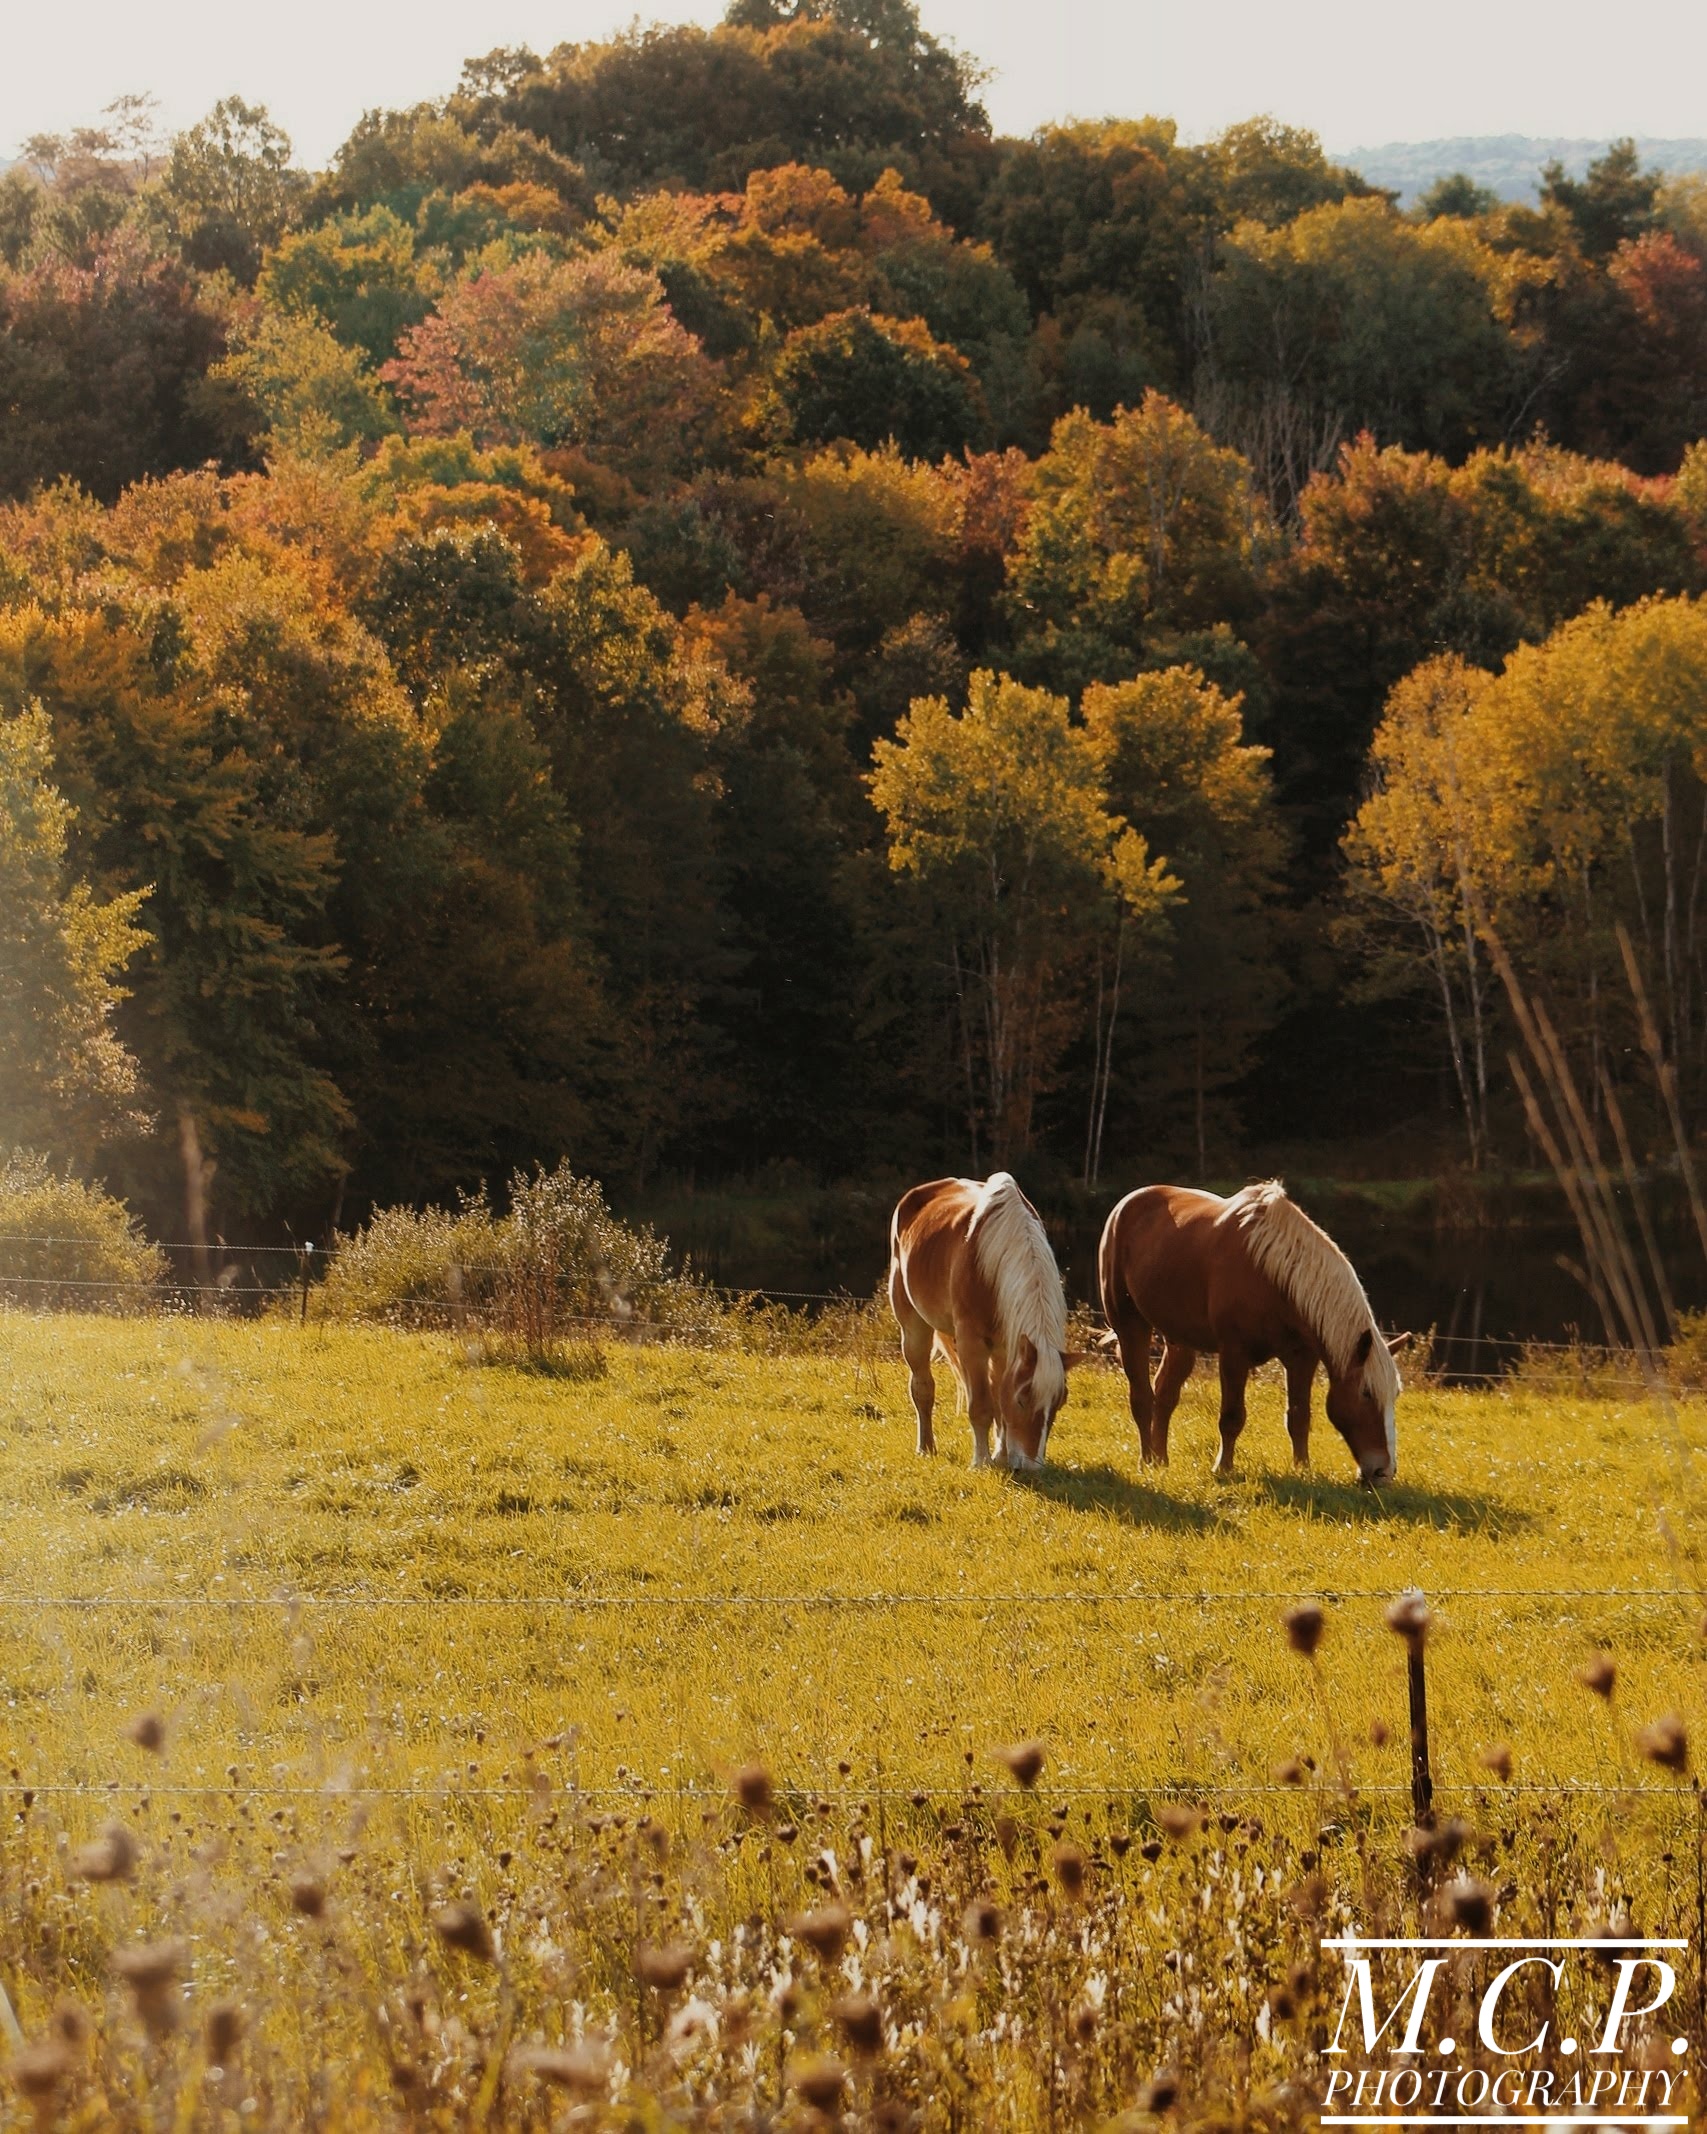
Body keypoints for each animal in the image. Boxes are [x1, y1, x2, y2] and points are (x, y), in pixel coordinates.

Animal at [879, 1169, 1079, 1468]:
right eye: (1023, 1400)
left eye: (1058, 1403)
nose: (1031, 1466)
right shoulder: (971, 1343)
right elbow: (982, 1406)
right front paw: (982, 1461)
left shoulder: (1007, 1347)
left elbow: (999, 1402)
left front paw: (1001, 1456)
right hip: (914, 1327)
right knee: (922, 1388)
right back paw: (925, 1447)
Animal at [1101, 1186, 1408, 1485]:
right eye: (1366, 1393)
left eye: (1395, 1394)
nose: (1383, 1472)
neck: (1273, 1274)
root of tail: (1126, 1204)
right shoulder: (1234, 1354)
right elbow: (1232, 1417)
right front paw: (1223, 1468)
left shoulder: (1301, 1359)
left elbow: (1299, 1417)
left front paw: (1303, 1469)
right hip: (1130, 1326)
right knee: (1142, 1397)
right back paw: (1147, 1461)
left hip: (1179, 1340)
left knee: (1165, 1394)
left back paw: (1161, 1460)